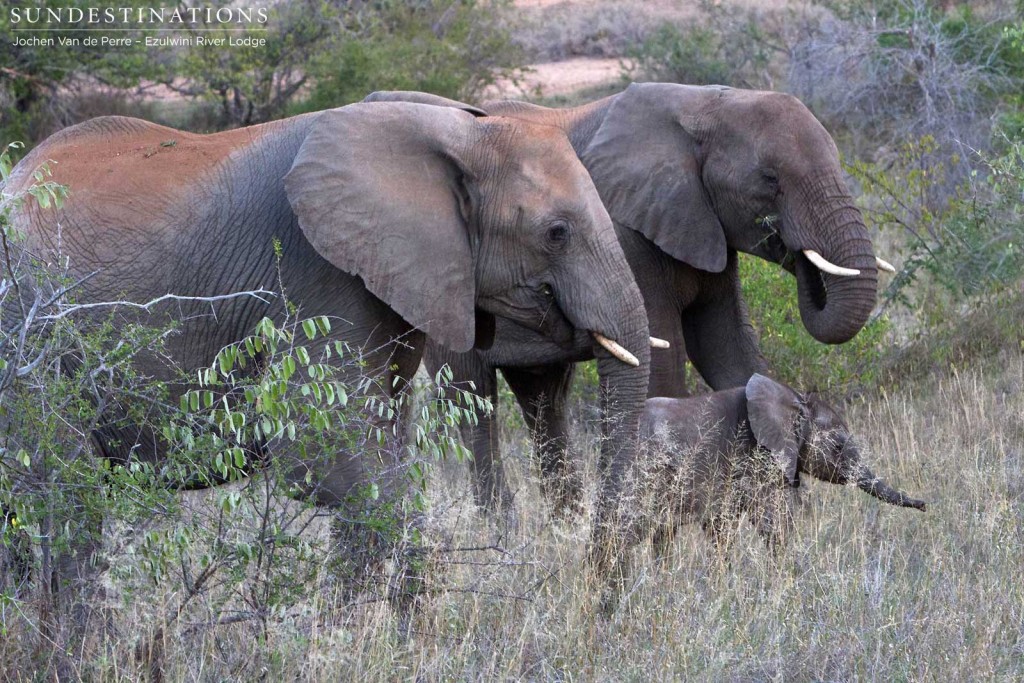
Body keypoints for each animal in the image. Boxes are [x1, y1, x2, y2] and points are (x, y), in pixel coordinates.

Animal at [6, 100, 647, 581]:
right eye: (556, 232)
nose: (586, 564)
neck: (457, 133)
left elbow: (379, 444)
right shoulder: (315, 274)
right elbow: (330, 457)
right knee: (61, 496)